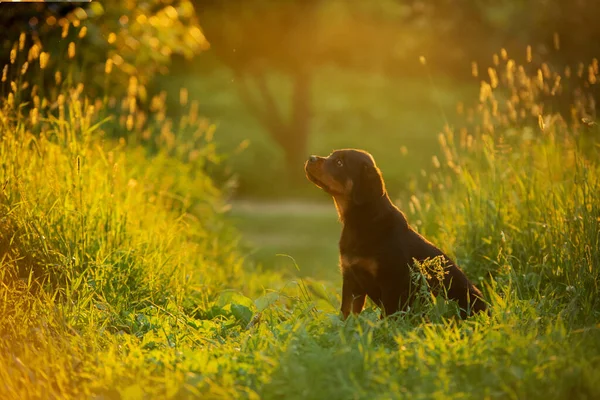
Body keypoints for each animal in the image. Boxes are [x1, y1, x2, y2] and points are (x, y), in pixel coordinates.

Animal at [304, 148, 488, 320]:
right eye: (332, 156)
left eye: (339, 163)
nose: (310, 158)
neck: (362, 220)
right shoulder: (351, 278)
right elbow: (347, 311)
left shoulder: (390, 282)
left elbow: (387, 315)